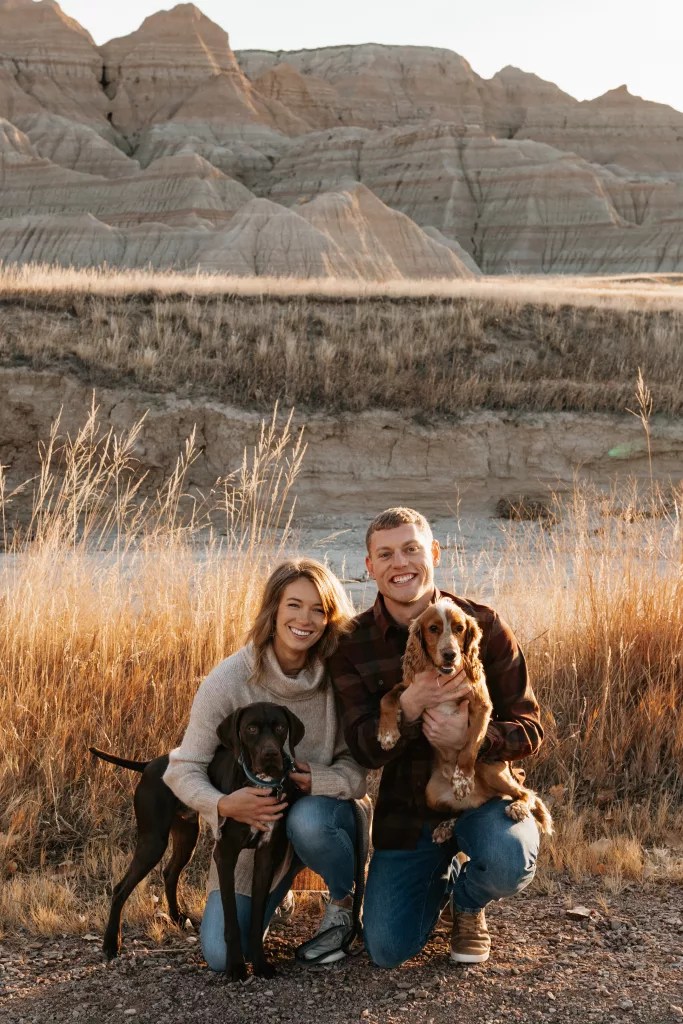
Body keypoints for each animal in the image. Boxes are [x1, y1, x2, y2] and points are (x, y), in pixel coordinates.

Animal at [376, 598, 552, 839]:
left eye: (459, 628)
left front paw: (462, 780)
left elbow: (469, 747)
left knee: (526, 793)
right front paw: (387, 734)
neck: (442, 675)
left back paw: (517, 807)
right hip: (431, 793)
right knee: (466, 810)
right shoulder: (408, 687)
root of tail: (482, 795)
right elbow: (386, 698)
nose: (450, 654)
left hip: (491, 768)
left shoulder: (482, 705)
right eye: (433, 628)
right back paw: (447, 826)